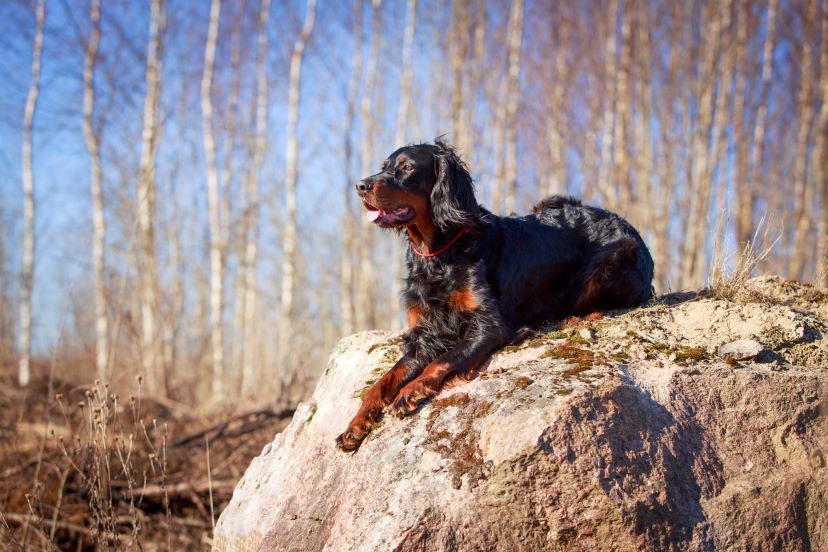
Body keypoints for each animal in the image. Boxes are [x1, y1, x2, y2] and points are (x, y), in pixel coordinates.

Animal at [336, 139, 652, 452]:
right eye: (385, 166)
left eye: (408, 168)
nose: (361, 185)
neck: (439, 253)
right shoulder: (424, 335)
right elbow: (381, 382)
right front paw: (354, 425)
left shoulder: (489, 325)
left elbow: (444, 359)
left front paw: (410, 391)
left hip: (613, 256)